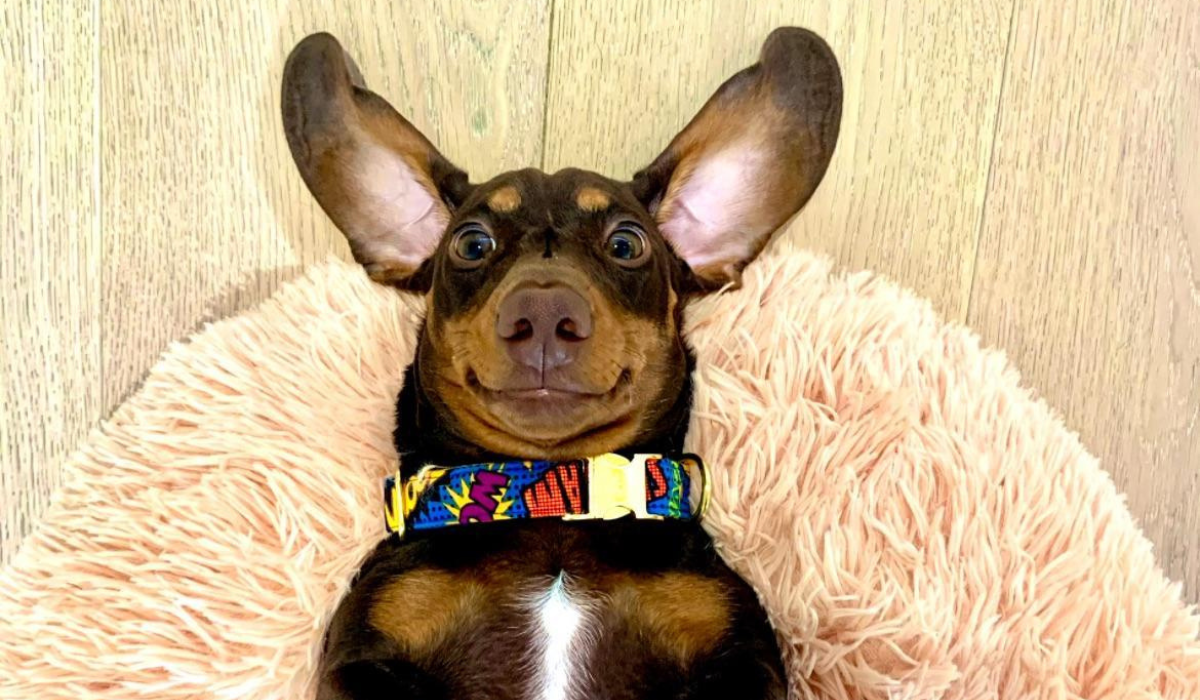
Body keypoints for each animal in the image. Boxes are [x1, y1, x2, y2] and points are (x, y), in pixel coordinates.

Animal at [280, 27, 844, 700]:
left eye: (627, 243)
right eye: (471, 243)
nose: (544, 314)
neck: (553, 493)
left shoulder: (742, 655)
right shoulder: (364, 649)